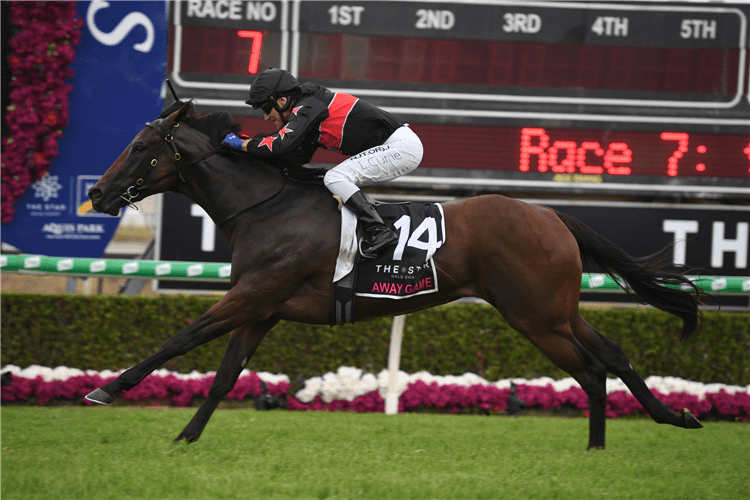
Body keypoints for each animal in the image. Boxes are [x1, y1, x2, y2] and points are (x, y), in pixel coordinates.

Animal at [86, 101, 704, 450]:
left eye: (139, 146)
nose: (97, 192)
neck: (266, 207)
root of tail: (552, 215)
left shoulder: (251, 296)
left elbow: (180, 340)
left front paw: (105, 389)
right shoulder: (261, 308)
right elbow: (223, 376)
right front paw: (186, 436)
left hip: (535, 318)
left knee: (592, 371)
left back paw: (598, 447)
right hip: (559, 312)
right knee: (614, 354)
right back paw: (672, 418)